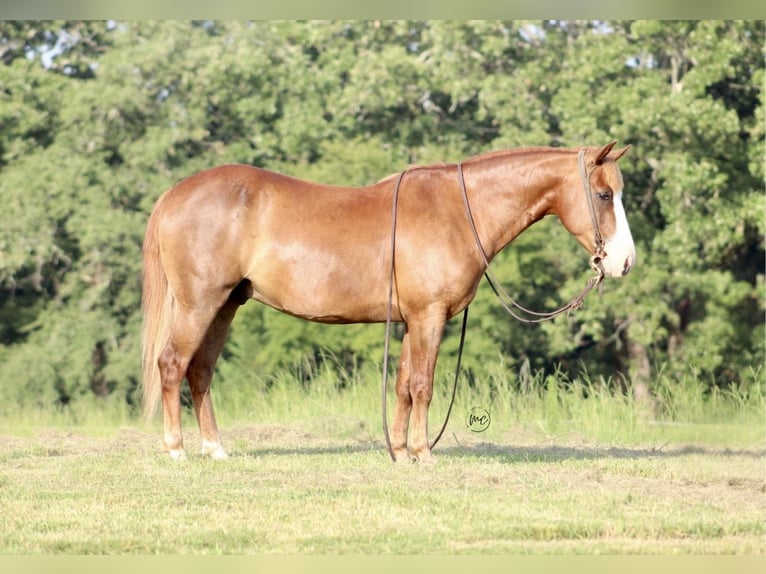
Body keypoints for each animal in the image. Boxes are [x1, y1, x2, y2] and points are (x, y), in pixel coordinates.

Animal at [141, 141, 636, 463]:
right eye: (603, 194)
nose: (624, 262)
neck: (458, 211)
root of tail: (175, 194)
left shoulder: (411, 321)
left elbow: (402, 384)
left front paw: (399, 451)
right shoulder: (429, 317)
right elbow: (422, 384)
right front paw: (422, 453)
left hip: (224, 306)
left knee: (200, 371)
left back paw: (215, 449)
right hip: (199, 305)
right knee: (173, 364)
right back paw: (176, 450)